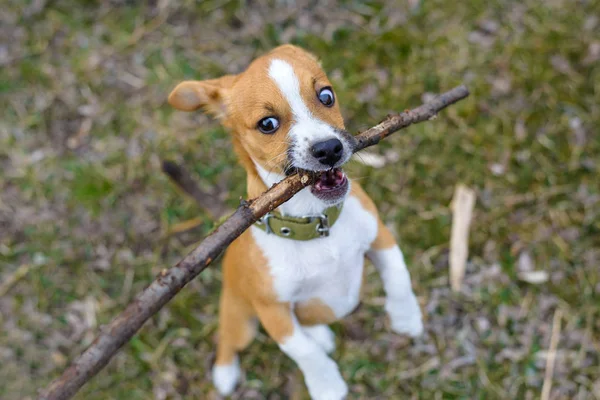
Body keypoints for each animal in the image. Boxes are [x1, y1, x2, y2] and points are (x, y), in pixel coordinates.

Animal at [166, 44, 424, 400]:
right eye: (267, 123)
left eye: (326, 96)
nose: (329, 149)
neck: (315, 224)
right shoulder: (273, 310)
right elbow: (303, 350)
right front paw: (327, 385)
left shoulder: (379, 237)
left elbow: (399, 275)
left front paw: (406, 317)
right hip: (242, 321)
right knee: (228, 342)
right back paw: (225, 373)